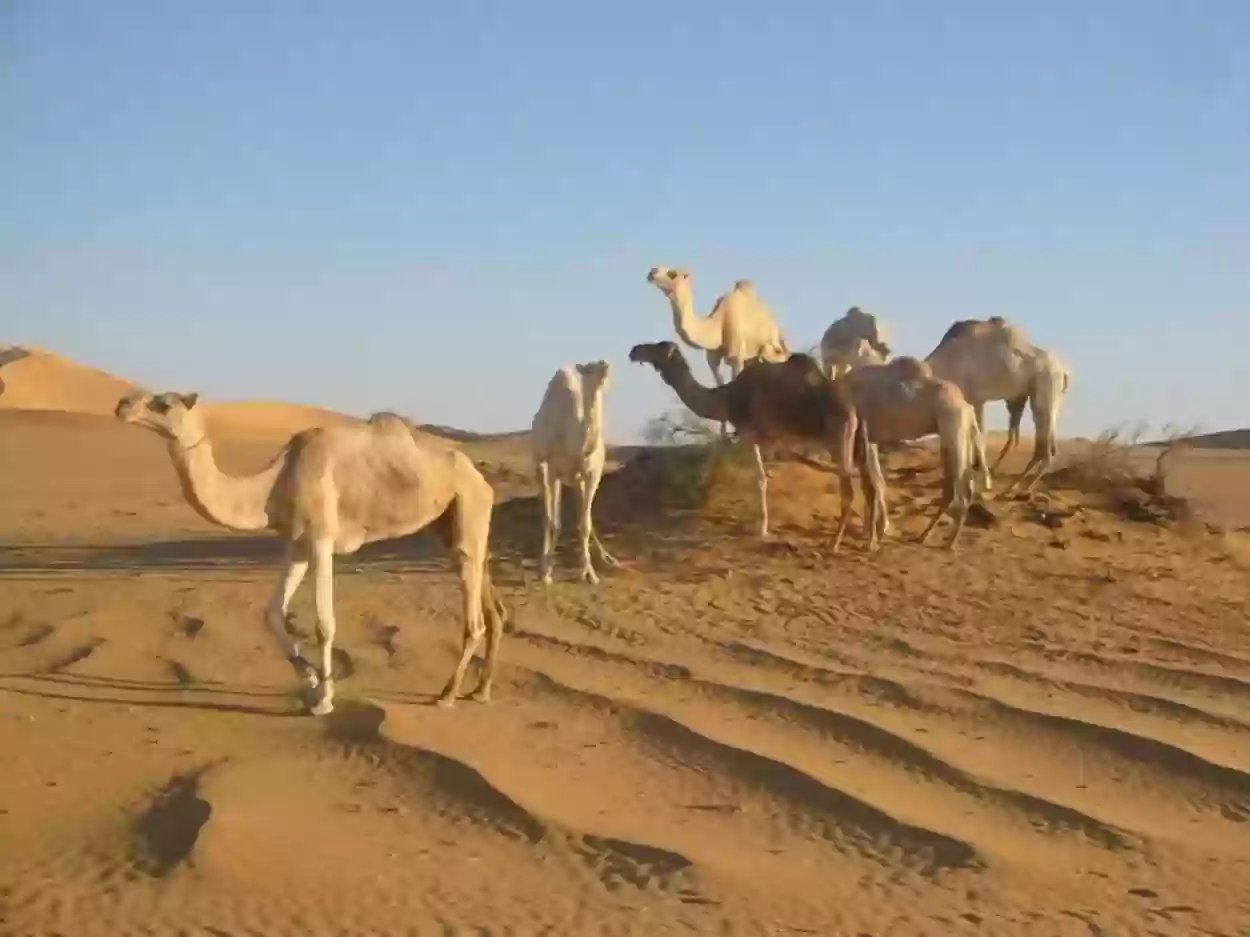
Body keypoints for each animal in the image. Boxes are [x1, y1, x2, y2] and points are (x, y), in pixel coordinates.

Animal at [113, 392, 507, 714]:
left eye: (163, 403)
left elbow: (324, 624)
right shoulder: (298, 545)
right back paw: (481, 691)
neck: (275, 484)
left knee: (474, 618)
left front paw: (324, 700)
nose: (123, 404)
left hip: (468, 509)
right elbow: (272, 613)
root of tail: (479, 476)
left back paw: (447, 694)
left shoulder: (321, 539)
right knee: (490, 600)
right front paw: (311, 680)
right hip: (454, 525)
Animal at [532, 362, 620, 584]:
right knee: (548, 514)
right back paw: (544, 567)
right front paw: (546, 573)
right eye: (591, 366)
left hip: (575, 479)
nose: (606, 364)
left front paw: (590, 574)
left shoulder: (591, 475)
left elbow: (585, 524)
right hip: (541, 466)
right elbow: (553, 521)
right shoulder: (553, 469)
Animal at [625, 342, 880, 549]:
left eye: (659, 347)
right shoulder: (768, 440)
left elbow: (759, 479)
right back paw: (870, 541)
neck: (726, 398)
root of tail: (854, 406)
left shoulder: (750, 434)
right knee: (870, 482)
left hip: (838, 438)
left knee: (849, 488)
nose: (634, 350)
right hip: (858, 439)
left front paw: (762, 530)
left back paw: (834, 543)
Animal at [840, 347, 995, 549]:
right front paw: (875, 533)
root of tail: (967, 407)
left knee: (963, 492)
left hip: (954, 427)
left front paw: (873, 539)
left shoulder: (862, 434)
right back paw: (923, 536)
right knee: (954, 488)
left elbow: (873, 485)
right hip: (959, 437)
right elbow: (874, 484)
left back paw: (949, 544)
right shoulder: (868, 439)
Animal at [925, 317, 1070, 494]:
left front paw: (984, 481)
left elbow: (979, 437)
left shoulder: (974, 399)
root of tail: (1064, 371)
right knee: (1046, 447)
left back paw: (1017, 487)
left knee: (1047, 450)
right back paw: (1015, 485)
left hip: (1046, 390)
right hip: (1044, 397)